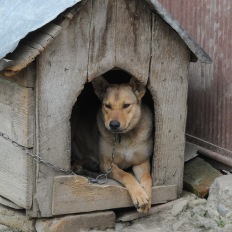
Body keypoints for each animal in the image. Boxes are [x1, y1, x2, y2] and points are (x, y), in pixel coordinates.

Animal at [71, 76, 153, 214]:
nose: (113, 124)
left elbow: (147, 177)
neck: (124, 137)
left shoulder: (141, 161)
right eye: (107, 105)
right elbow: (126, 175)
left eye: (126, 105)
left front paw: (147, 196)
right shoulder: (107, 164)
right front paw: (139, 195)